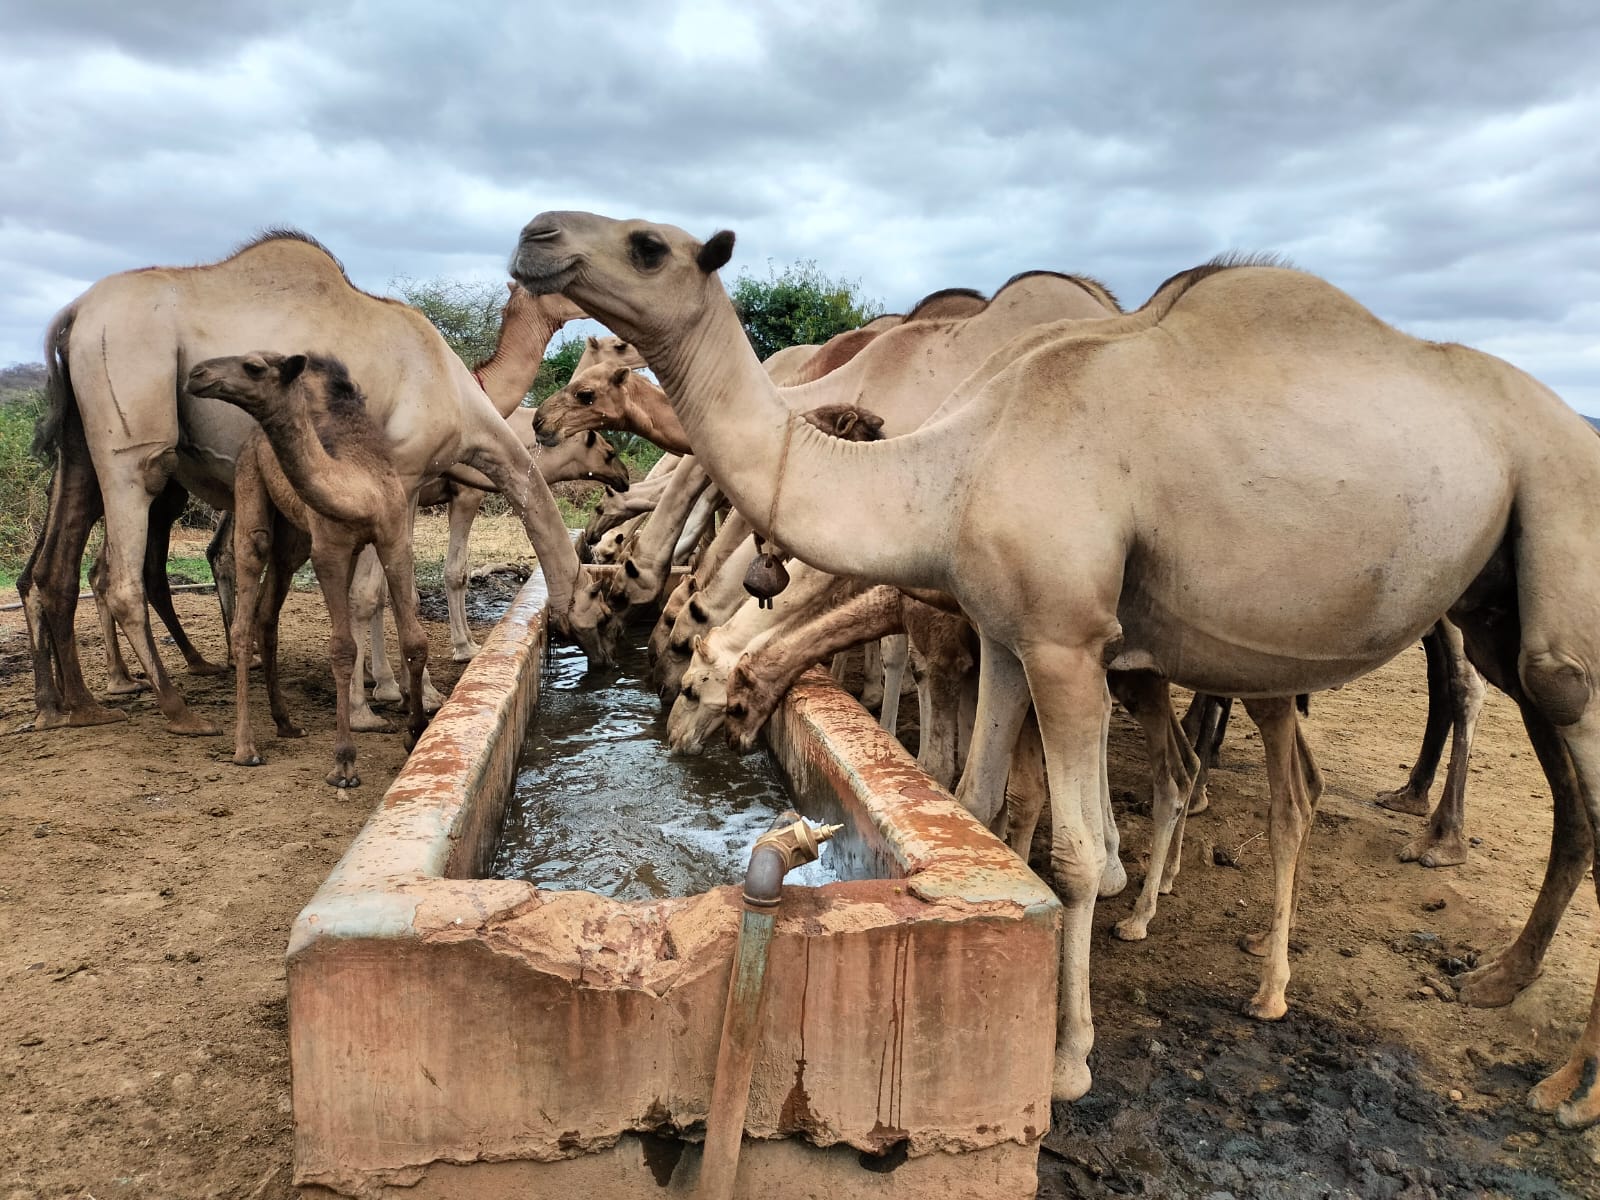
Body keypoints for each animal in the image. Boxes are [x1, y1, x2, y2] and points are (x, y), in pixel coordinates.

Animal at [19, 235, 605, 737]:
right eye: (602, 604)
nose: (602, 655)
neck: (465, 396)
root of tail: (73, 315)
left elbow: (370, 592)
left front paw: (385, 691)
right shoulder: (403, 477)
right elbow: (375, 594)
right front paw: (387, 700)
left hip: (79, 445)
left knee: (54, 570)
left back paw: (73, 705)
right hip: (133, 423)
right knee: (124, 565)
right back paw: (178, 709)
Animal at [187, 350, 426, 787]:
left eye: (254, 366)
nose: (197, 374)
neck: (359, 486)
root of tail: (253, 439)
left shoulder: (394, 539)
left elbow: (415, 639)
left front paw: (414, 733)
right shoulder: (329, 550)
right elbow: (343, 648)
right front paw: (344, 763)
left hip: (293, 539)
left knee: (267, 614)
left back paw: (286, 723)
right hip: (251, 490)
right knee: (245, 601)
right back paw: (246, 747)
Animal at [513, 213, 1600, 1125]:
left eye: (647, 245)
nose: (535, 236)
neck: (949, 455)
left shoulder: (1064, 640)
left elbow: (1065, 842)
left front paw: (1068, 1055)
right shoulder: (1001, 634)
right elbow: (975, 796)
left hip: (1547, 553)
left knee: (1452, 723)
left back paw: (1538, 1073)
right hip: (1492, 602)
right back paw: (1485, 980)